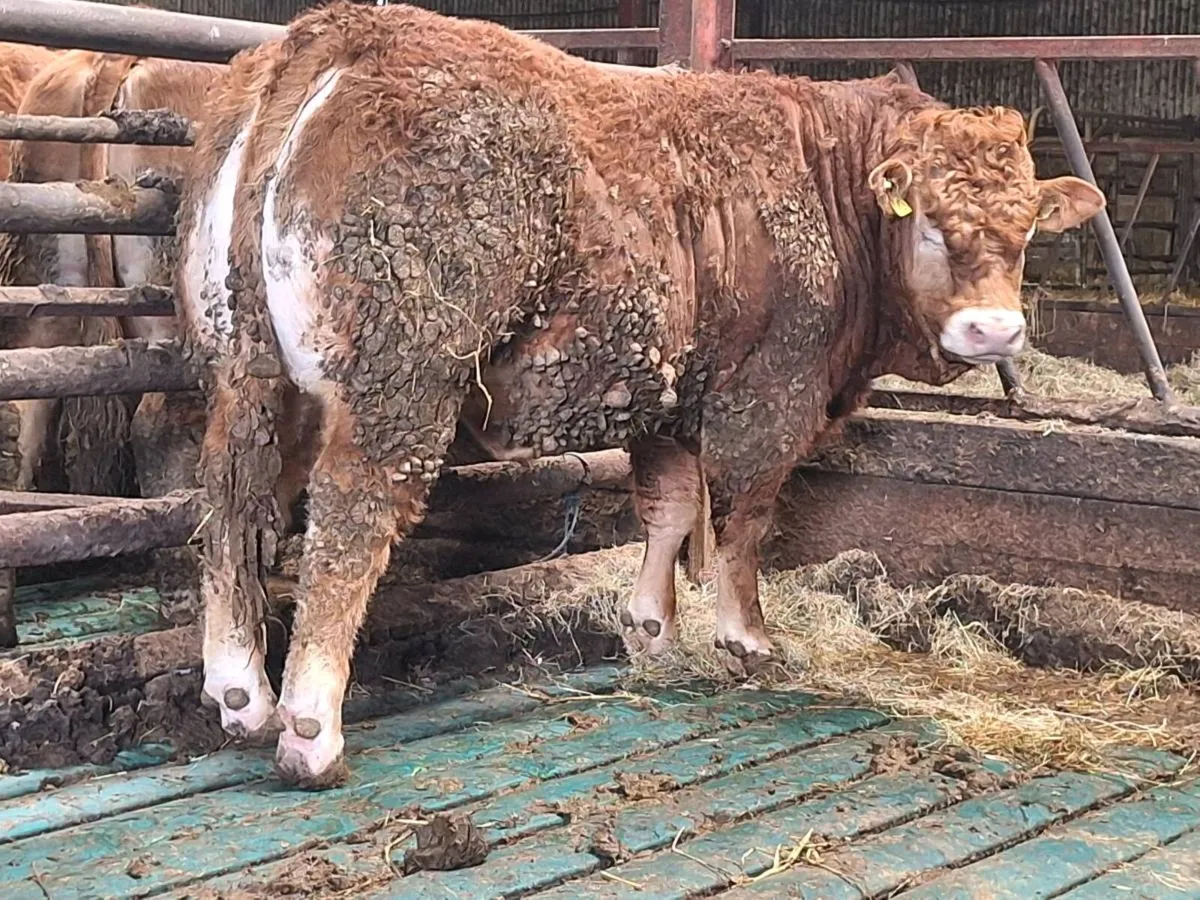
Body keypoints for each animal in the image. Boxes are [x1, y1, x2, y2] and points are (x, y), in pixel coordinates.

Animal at [177, 0, 1105, 788]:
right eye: (929, 222)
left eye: (1027, 228)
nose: (995, 331)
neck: (827, 182)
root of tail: (343, 30)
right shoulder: (769, 393)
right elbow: (743, 518)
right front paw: (747, 639)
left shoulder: (666, 397)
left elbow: (668, 507)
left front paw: (653, 632)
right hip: (401, 377)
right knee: (349, 517)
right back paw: (310, 731)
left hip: (246, 371)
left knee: (232, 497)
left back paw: (241, 696)